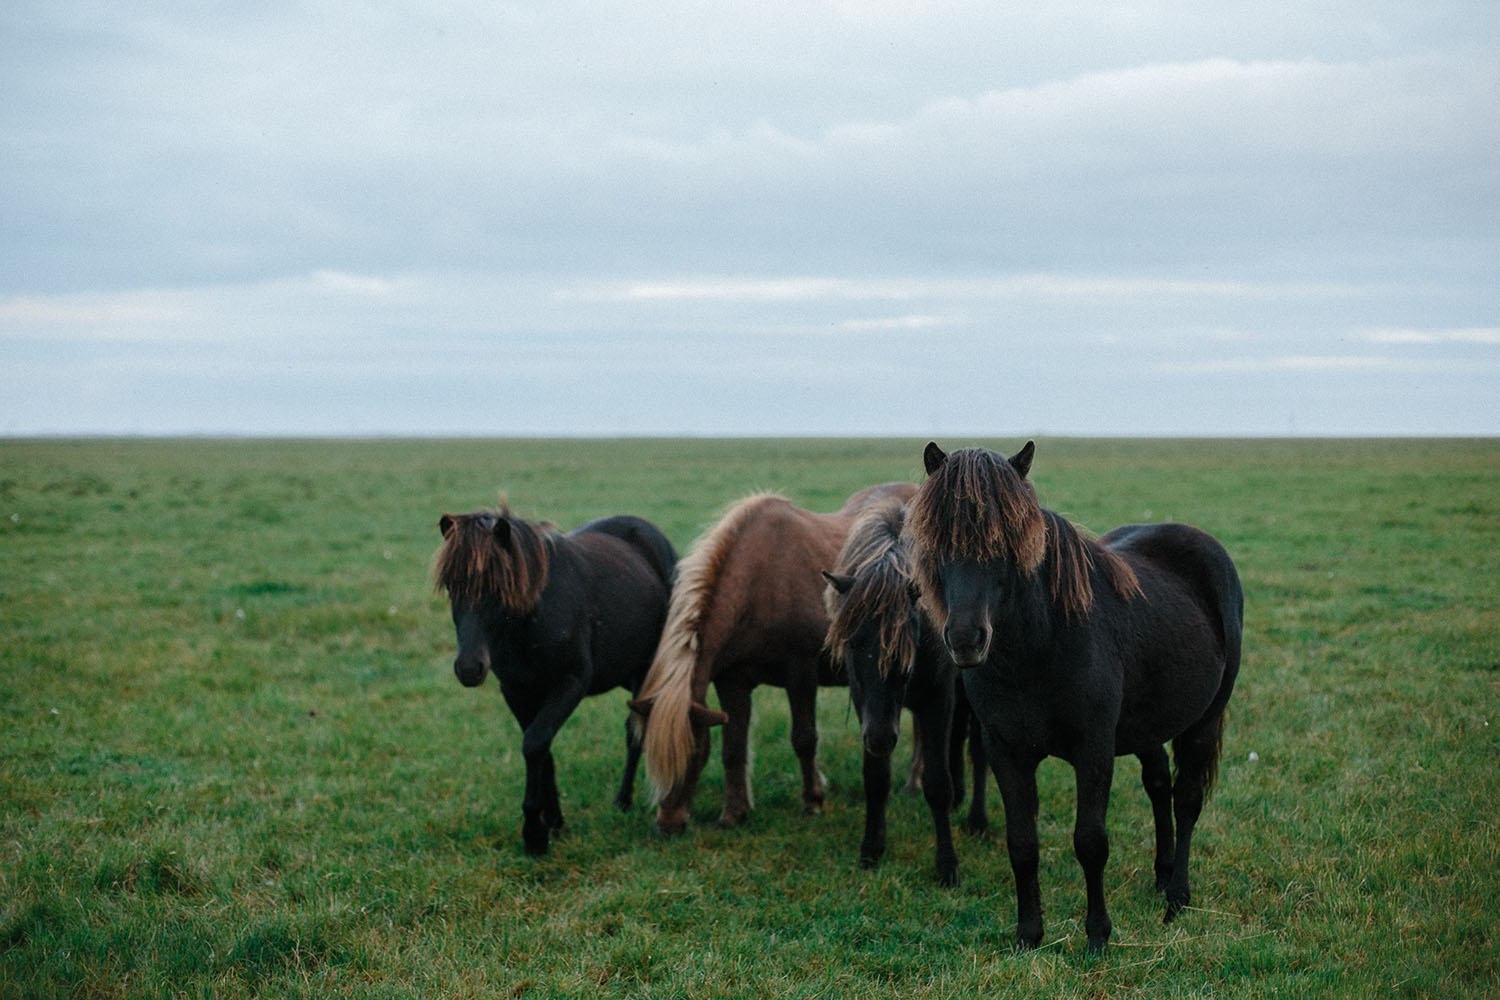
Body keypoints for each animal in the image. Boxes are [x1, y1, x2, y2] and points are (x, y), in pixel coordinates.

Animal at [429, 503, 675, 857]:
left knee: (635, 732)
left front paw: (534, 834)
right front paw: (554, 821)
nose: (469, 668)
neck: (532, 621)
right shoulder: (517, 691)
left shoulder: (570, 684)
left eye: (499, 587)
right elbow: (542, 750)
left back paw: (623, 800)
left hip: (647, 671)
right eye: (451, 586)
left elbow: (534, 744)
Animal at [624, 482, 912, 839]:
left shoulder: (801, 673)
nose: (667, 825)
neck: (760, 582)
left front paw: (813, 800)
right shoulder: (732, 682)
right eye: (649, 752)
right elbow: (733, 747)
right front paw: (734, 813)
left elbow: (804, 739)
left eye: (693, 753)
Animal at [816, 497, 990, 887]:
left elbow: (937, 783)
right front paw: (871, 849)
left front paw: (947, 865)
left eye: (904, 649)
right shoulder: (865, 705)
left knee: (977, 750)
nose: (881, 739)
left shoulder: (937, 699)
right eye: (851, 646)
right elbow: (876, 778)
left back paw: (977, 820)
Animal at [900, 443, 1242, 953]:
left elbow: (1091, 842)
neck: (1039, 648)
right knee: (1159, 785)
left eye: (1008, 542)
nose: (964, 639)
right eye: (938, 541)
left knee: (1186, 800)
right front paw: (1028, 934)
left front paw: (1098, 935)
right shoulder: (1007, 751)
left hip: (1205, 719)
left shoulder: (1093, 748)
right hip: (1146, 727)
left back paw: (1177, 897)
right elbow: (1022, 843)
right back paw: (1162, 875)